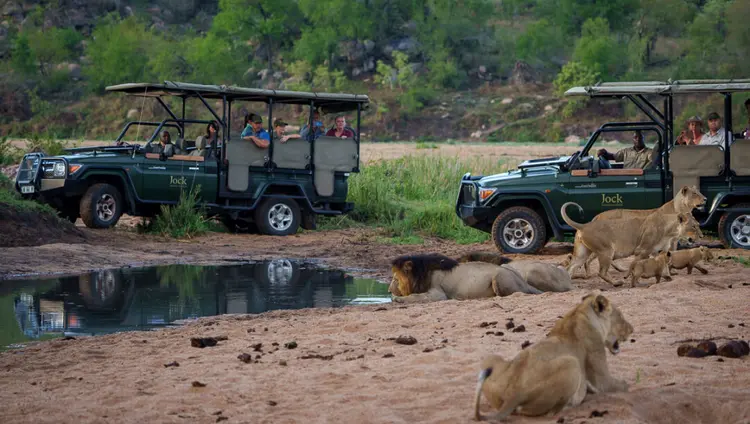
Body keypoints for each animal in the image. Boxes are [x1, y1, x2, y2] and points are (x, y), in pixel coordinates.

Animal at [388, 253, 542, 303]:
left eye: (395, 280)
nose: (389, 290)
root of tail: (523, 281)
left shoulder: (438, 293)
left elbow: (417, 296)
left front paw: (398, 299)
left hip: (499, 277)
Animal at [473, 293, 633, 421]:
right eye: (621, 316)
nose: (632, 329)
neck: (578, 312)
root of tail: (513, 394)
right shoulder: (601, 375)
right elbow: (622, 385)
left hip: (490, 358)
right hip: (571, 362)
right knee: (553, 412)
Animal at [561, 202, 702, 285]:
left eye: (698, 225)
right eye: (694, 227)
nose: (701, 236)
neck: (670, 231)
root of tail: (584, 225)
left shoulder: (661, 251)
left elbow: (665, 266)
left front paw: (668, 277)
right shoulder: (643, 250)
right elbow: (635, 264)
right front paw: (631, 278)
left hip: (582, 253)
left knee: (571, 267)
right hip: (606, 251)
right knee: (601, 272)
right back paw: (616, 283)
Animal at [573, 185, 706, 276]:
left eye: (700, 192)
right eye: (695, 193)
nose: (705, 198)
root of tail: (598, 216)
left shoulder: (670, 241)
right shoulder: (670, 240)